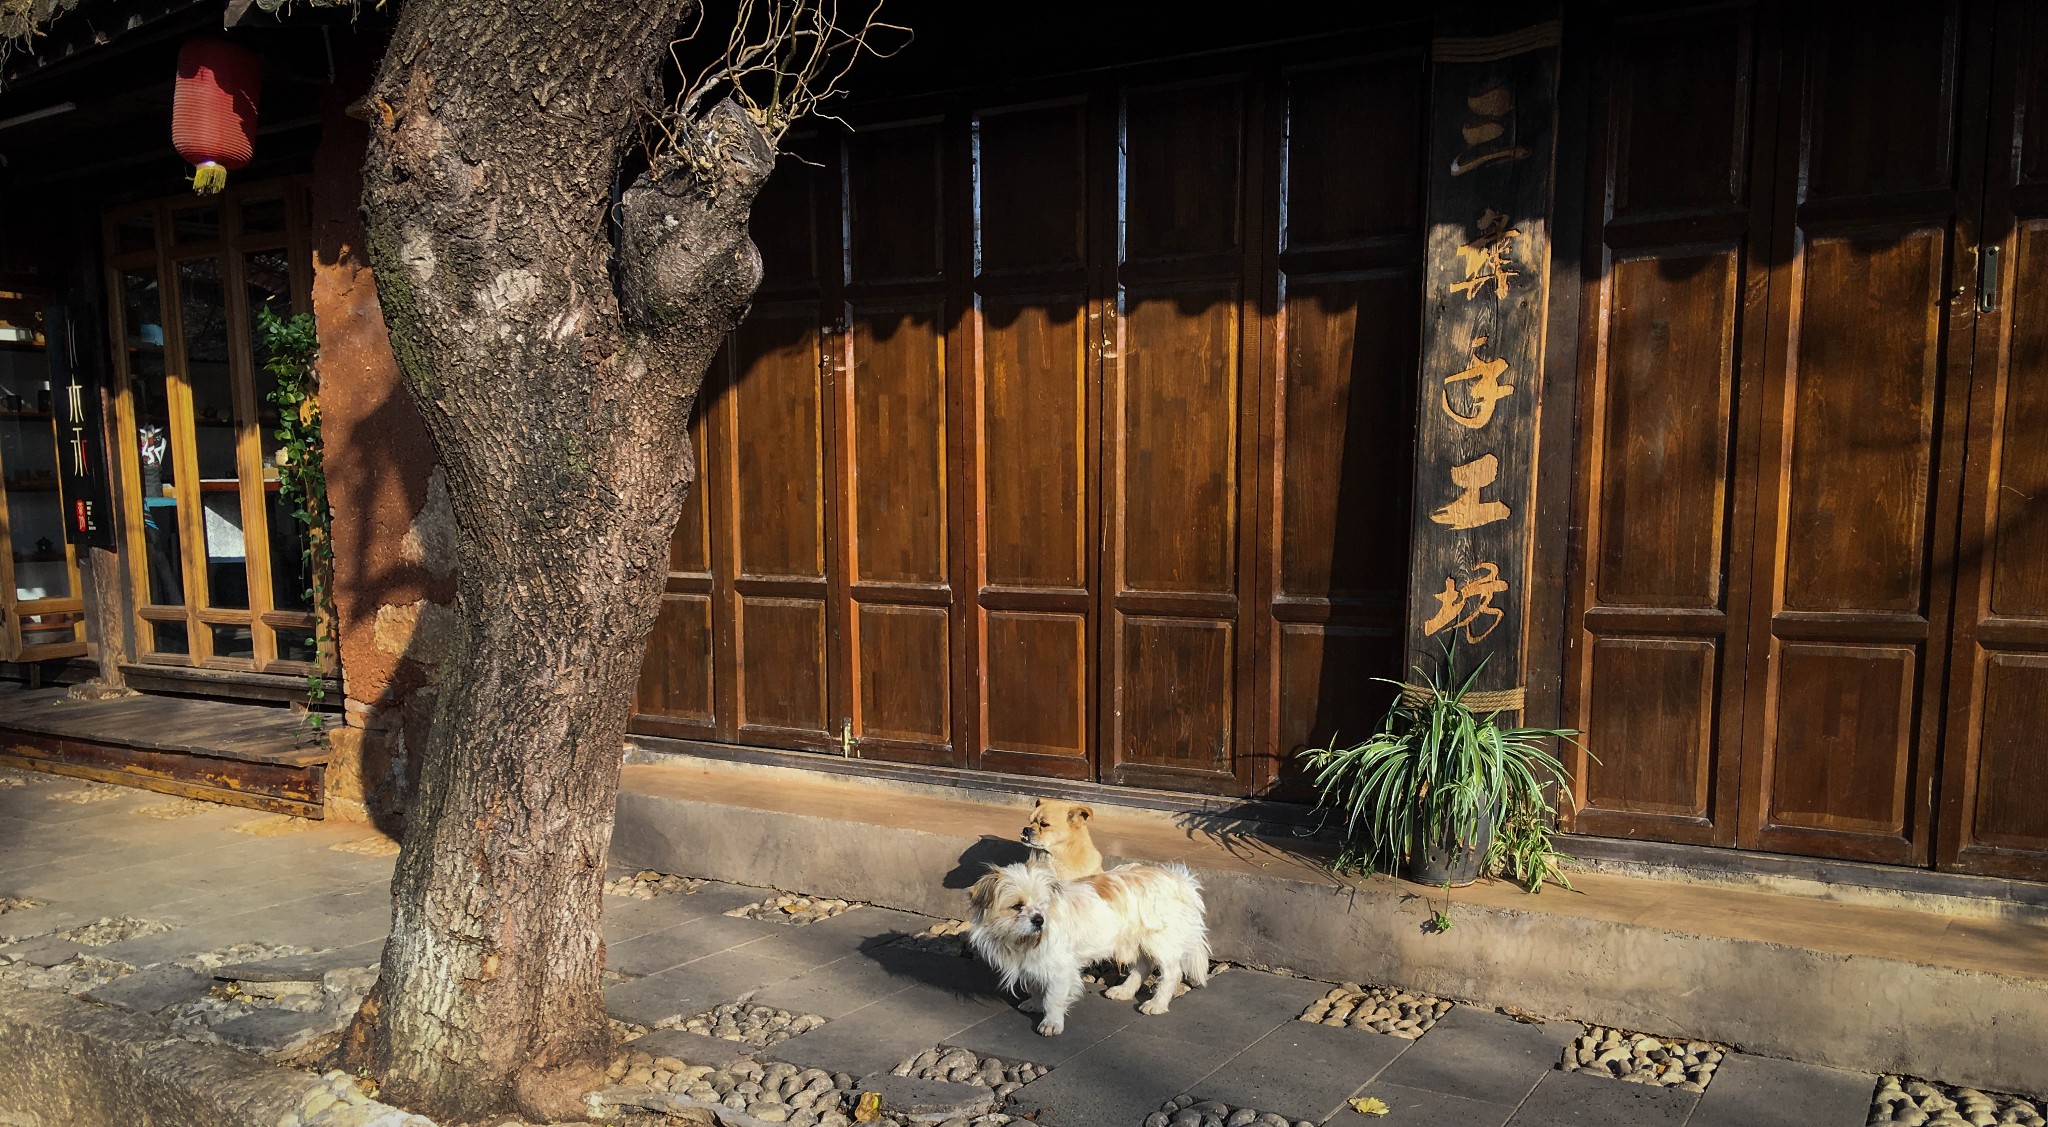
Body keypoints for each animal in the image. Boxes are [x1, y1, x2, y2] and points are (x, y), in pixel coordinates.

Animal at [966, 864, 1204, 1040]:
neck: (1022, 942)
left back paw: (1157, 1004)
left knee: (1171, 973)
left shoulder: (1061, 969)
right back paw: (1124, 991)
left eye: (1043, 905)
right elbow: (1037, 985)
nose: (1039, 919)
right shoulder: (1034, 962)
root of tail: (1180, 879)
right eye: (1017, 906)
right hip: (1136, 940)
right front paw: (1035, 1003)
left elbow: (1053, 998)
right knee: (1142, 967)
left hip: (1158, 942)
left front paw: (1051, 1022)